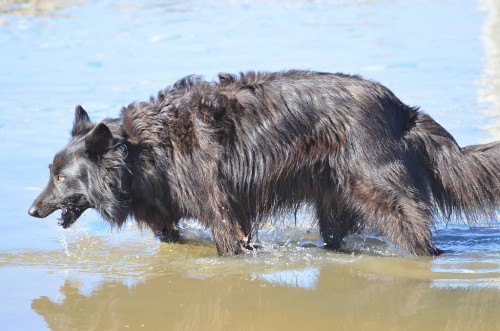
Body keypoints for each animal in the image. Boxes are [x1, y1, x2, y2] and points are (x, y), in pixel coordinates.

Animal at [28, 70, 500, 256]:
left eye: (62, 177)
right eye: (50, 174)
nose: (32, 210)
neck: (142, 149)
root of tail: (402, 109)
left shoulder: (221, 209)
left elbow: (229, 242)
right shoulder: (166, 207)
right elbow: (170, 233)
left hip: (378, 190)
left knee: (416, 232)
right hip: (332, 197)